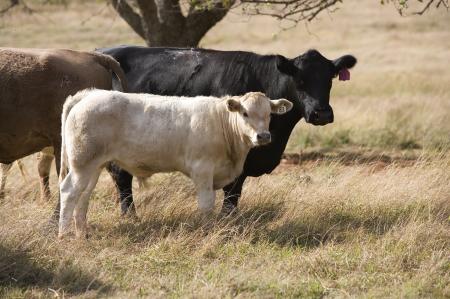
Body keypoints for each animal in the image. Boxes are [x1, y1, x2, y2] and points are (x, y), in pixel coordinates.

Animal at [97, 45, 356, 216]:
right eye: (299, 80)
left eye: (330, 79)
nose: (322, 114)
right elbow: (231, 194)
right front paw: (227, 220)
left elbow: (235, 193)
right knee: (121, 177)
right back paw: (130, 216)